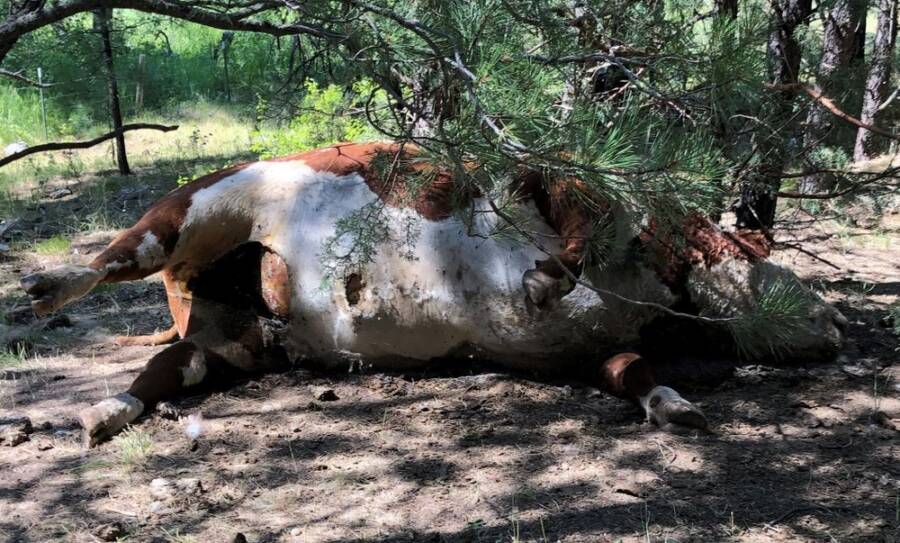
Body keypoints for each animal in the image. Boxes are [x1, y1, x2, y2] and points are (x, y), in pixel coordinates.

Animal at [20, 142, 847, 446]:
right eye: (761, 256)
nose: (835, 321)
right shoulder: (561, 180)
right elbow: (571, 237)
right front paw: (544, 277)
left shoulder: (586, 353)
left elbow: (632, 372)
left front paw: (675, 405)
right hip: (193, 209)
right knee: (116, 257)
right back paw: (45, 284)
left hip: (235, 340)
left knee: (166, 369)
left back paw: (102, 413)